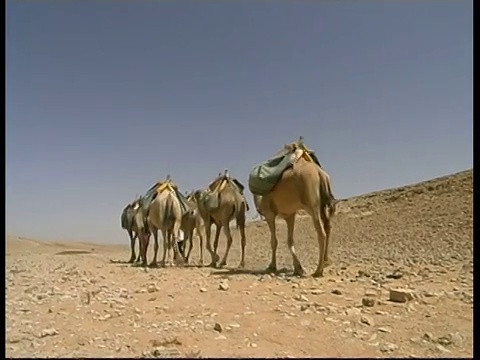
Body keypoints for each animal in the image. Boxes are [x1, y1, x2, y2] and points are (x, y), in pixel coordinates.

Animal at [251, 139, 338, 278]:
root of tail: (320, 173)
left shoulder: (270, 214)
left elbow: (274, 241)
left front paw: (272, 266)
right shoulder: (289, 215)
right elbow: (290, 240)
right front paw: (298, 268)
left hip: (312, 205)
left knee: (321, 232)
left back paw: (318, 270)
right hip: (323, 205)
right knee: (328, 227)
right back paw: (326, 262)